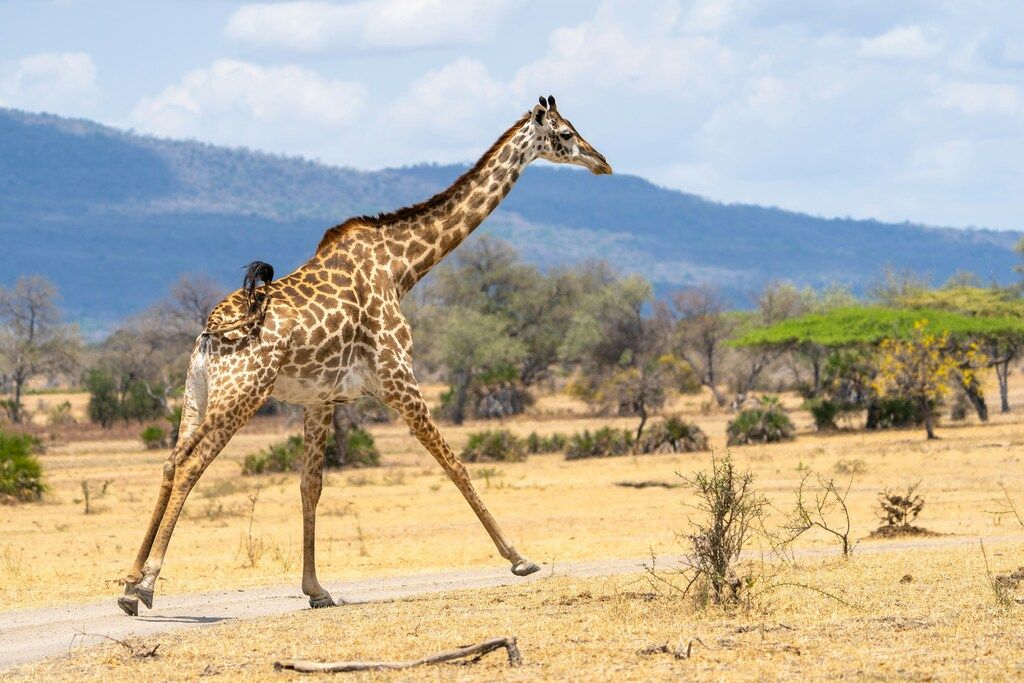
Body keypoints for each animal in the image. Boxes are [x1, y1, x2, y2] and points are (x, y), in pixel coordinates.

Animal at [116, 94, 610, 614]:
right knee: (191, 467)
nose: (602, 161)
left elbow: (310, 486)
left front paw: (316, 589)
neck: (400, 267)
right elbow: (455, 464)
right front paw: (519, 558)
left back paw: (129, 583)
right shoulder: (399, 380)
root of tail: (211, 330)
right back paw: (147, 584)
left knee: (171, 462)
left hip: (198, 395)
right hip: (241, 396)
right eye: (566, 134)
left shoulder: (320, 401)